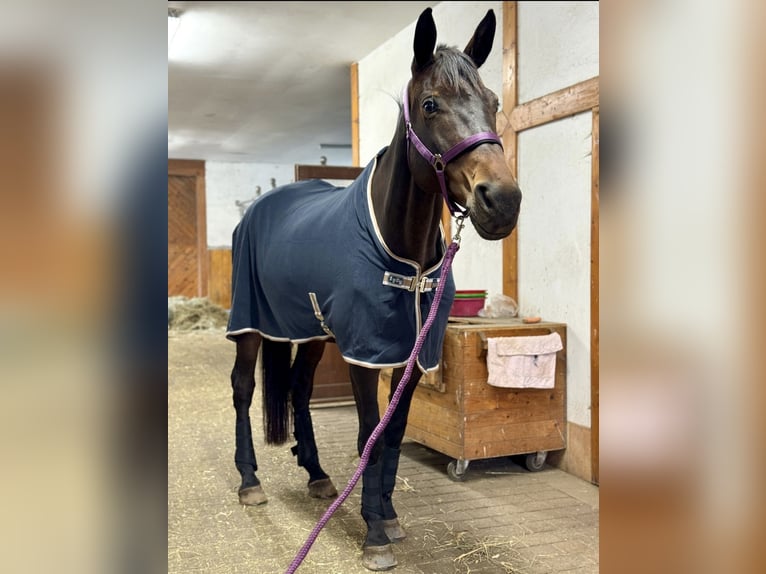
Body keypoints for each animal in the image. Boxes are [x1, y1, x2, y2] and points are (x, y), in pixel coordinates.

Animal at [225, 7, 521, 571]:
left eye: (494, 102)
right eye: (430, 104)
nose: (502, 201)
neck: (404, 257)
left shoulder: (412, 354)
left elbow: (394, 434)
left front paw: (388, 515)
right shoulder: (365, 354)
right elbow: (370, 436)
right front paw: (374, 535)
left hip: (311, 332)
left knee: (298, 388)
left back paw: (318, 476)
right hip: (249, 324)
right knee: (243, 387)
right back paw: (250, 481)